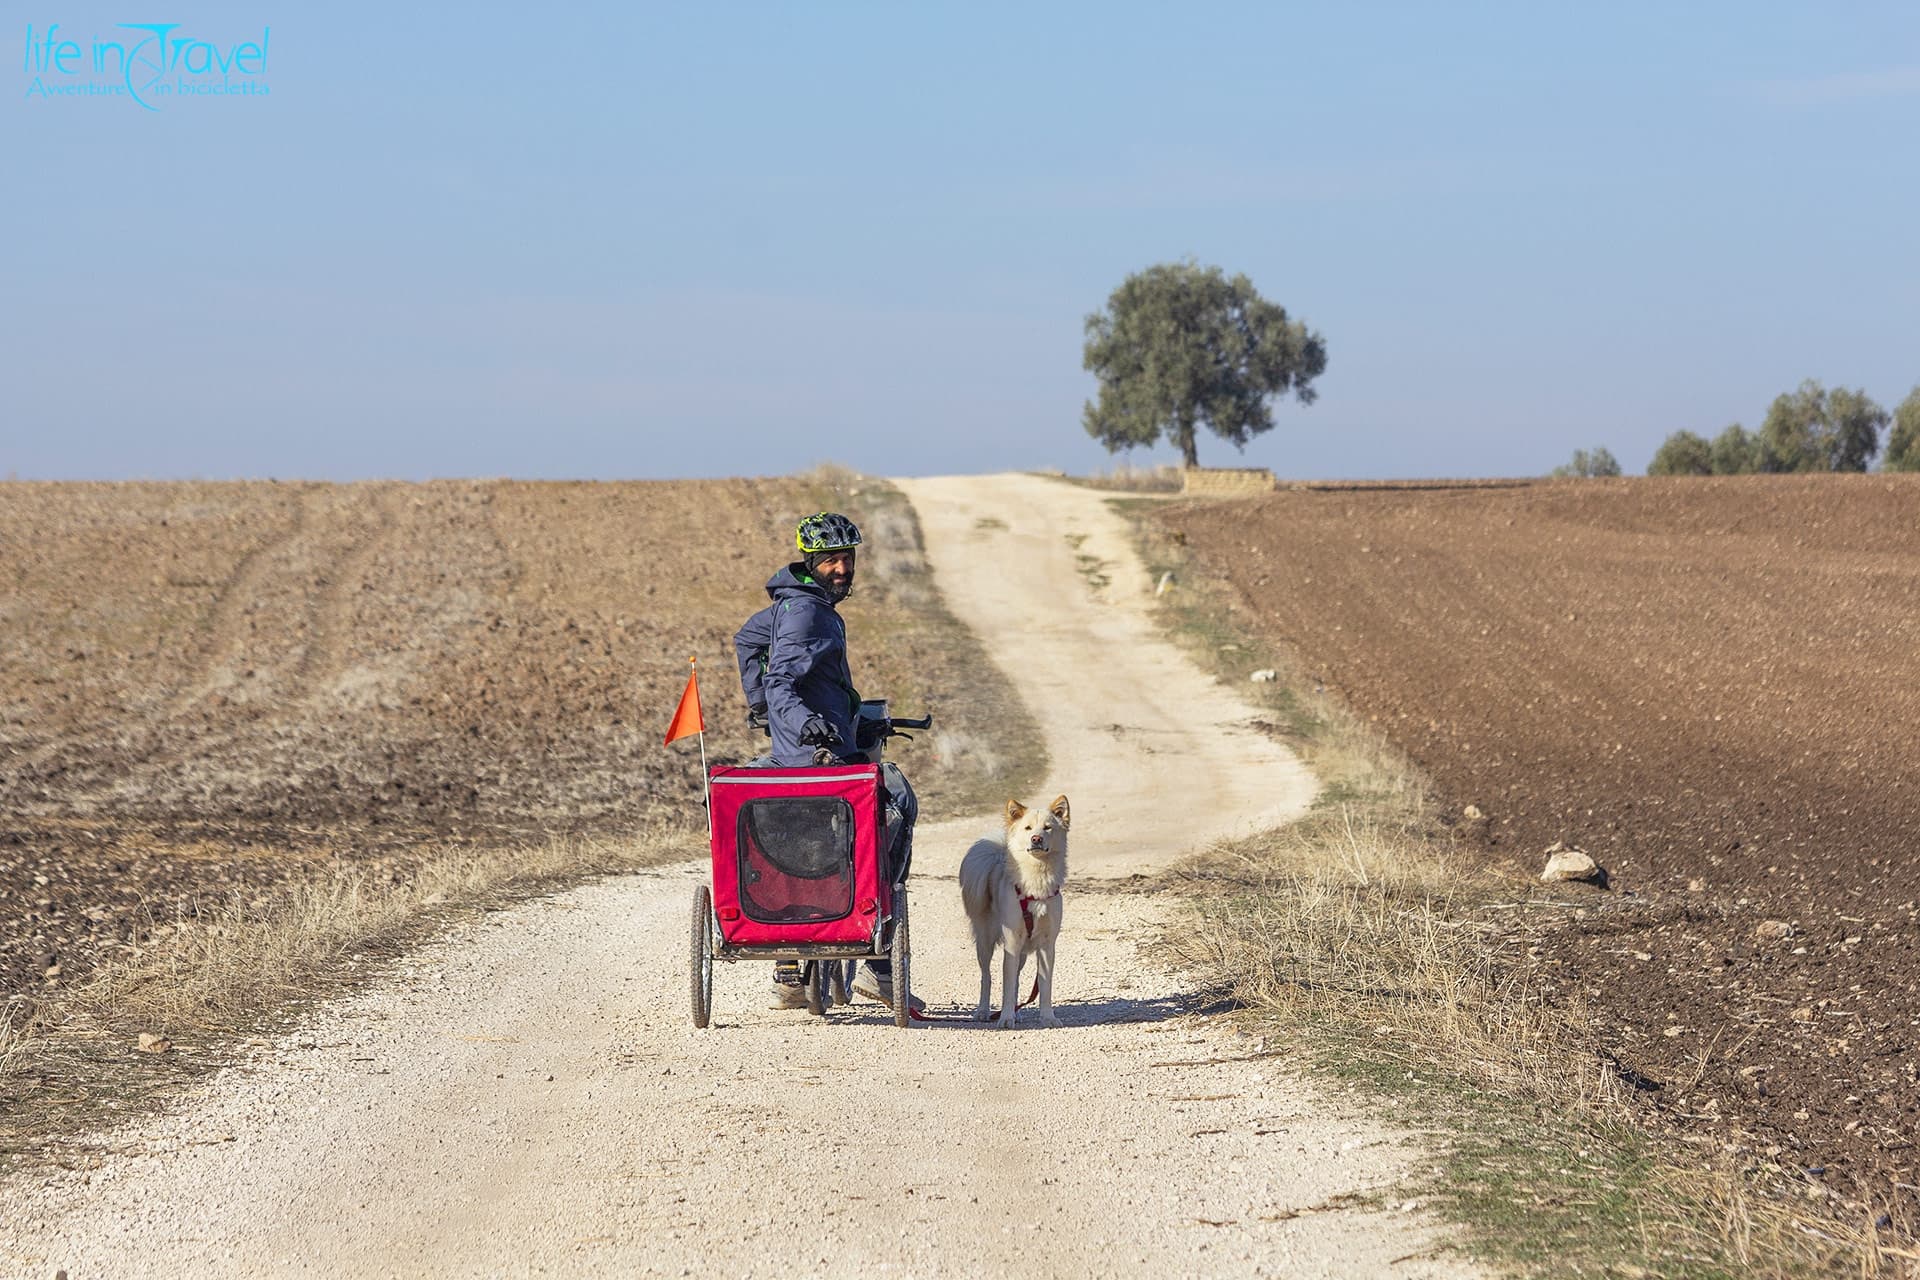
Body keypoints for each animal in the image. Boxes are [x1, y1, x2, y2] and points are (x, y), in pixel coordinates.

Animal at [967, 790, 1075, 1028]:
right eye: (1028, 828)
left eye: (1047, 828)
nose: (1036, 839)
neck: (1035, 883)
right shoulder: (1012, 943)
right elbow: (1006, 987)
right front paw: (1006, 1018)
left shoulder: (1047, 945)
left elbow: (1044, 985)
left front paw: (1048, 1017)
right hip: (985, 942)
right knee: (986, 977)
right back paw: (983, 1011)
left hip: (1023, 952)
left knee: (1015, 978)